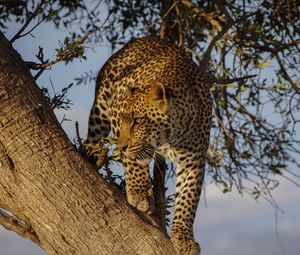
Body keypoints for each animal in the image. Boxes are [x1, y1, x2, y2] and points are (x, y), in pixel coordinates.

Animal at [83, 36, 212, 255]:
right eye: (125, 119)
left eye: (137, 121)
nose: (121, 146)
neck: (171, 136)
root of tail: (139, 39)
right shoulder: (116, 111)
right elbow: (133, 162)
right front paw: (139, 193)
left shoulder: (193, 162)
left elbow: (188, 200)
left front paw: (184, 238)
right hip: (100, 109)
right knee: (91, 136)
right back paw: (92, 154)